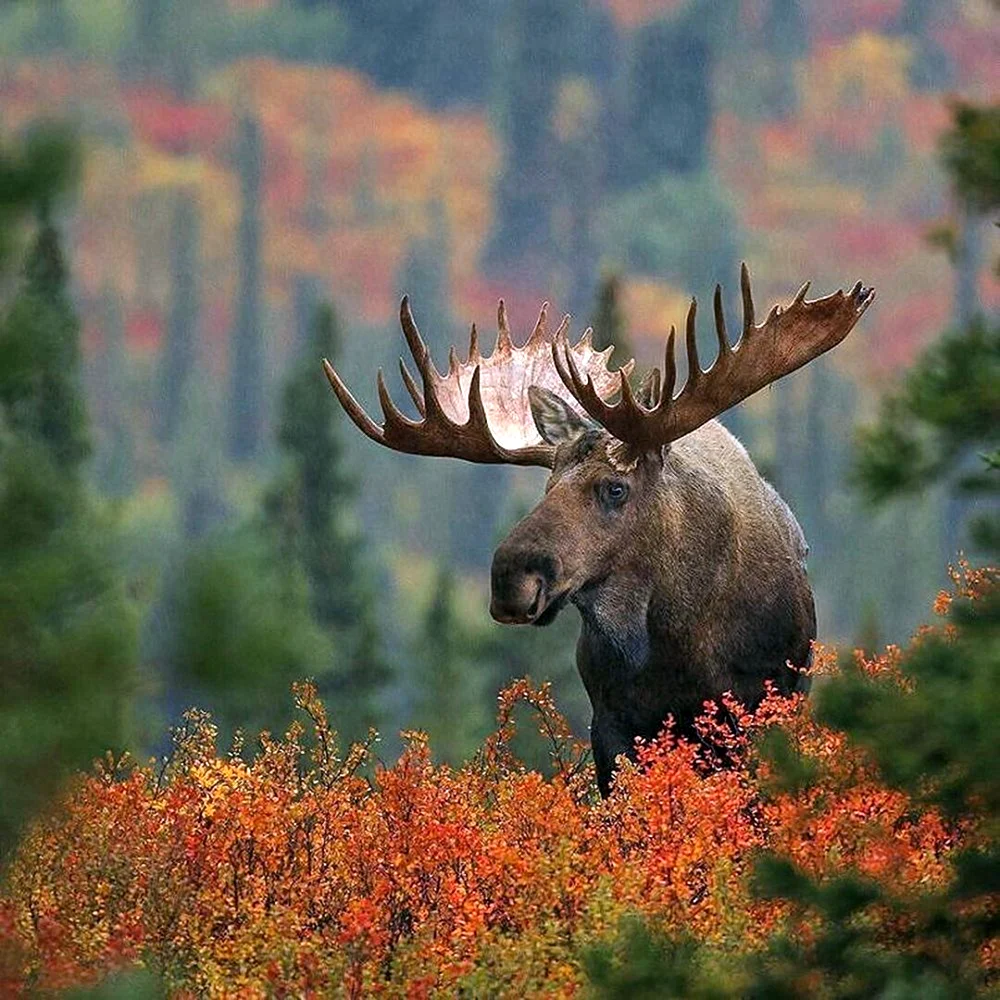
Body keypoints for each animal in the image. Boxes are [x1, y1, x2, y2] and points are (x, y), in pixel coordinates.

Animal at [323, 265, 874, 795]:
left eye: (615, 488)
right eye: (547, 485)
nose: (511, 579)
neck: (681, 641)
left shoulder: (758, 711)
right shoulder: (610, 724)